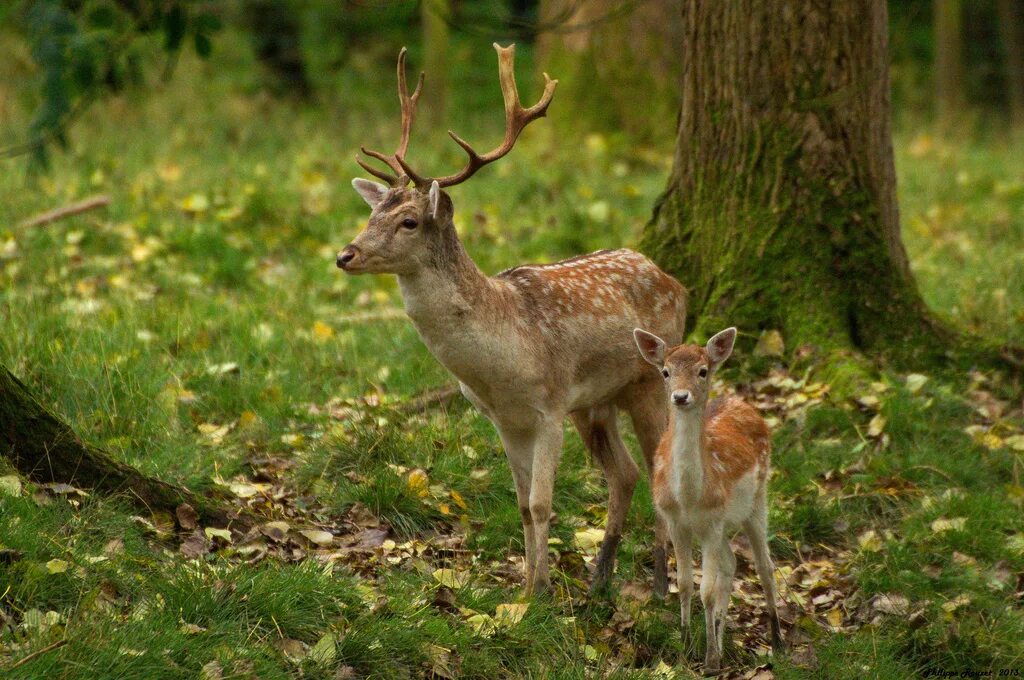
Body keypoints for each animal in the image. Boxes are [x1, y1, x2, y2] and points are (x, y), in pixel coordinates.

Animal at [337, 43, 688, 593]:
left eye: (409, 221)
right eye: (372, 215)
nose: (345, 255)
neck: (501, 360)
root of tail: (675, 281)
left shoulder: (550, 407)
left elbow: (543, 504)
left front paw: (540, 591)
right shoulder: (504, 419)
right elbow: (523, 507)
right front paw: (527, 588)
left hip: (649, 382)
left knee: (657, 470)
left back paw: (656, 585)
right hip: (596, 401)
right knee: (626, 472)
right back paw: (600, 579)